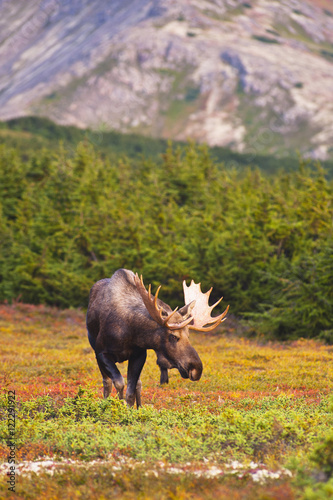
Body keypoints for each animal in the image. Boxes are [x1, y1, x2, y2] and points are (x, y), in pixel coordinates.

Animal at [85, 270, 228, 406]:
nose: (196, 369)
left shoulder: (139, 354)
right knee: (107, 381)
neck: (130, 333)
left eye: (188, 335)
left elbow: (130, 393)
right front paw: (117, 405)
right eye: (173, 336)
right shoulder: (101, 352)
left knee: (138, 384)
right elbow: (119, 382)